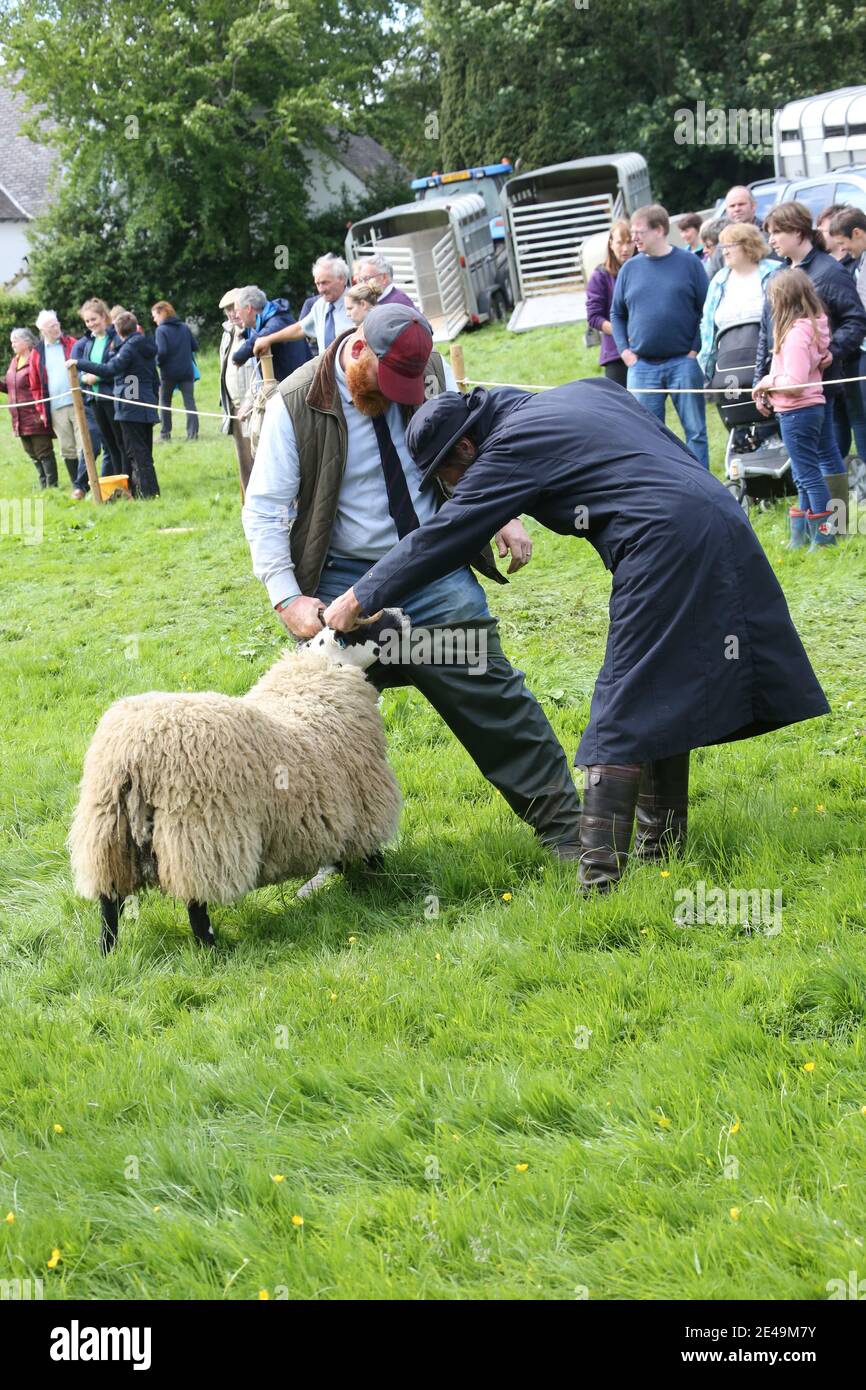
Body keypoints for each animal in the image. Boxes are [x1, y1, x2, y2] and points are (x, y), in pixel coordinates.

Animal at [69, 614, 405, 950]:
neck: (315, 679)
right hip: (200, 836)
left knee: (109, 903)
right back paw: (212, 951)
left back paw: (108, 952)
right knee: (196, 905)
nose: (401, 613)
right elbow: (373, 854)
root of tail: (131, 754)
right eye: (367, 625)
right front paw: (383, 885)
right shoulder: (364, 807)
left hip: (109, 835)